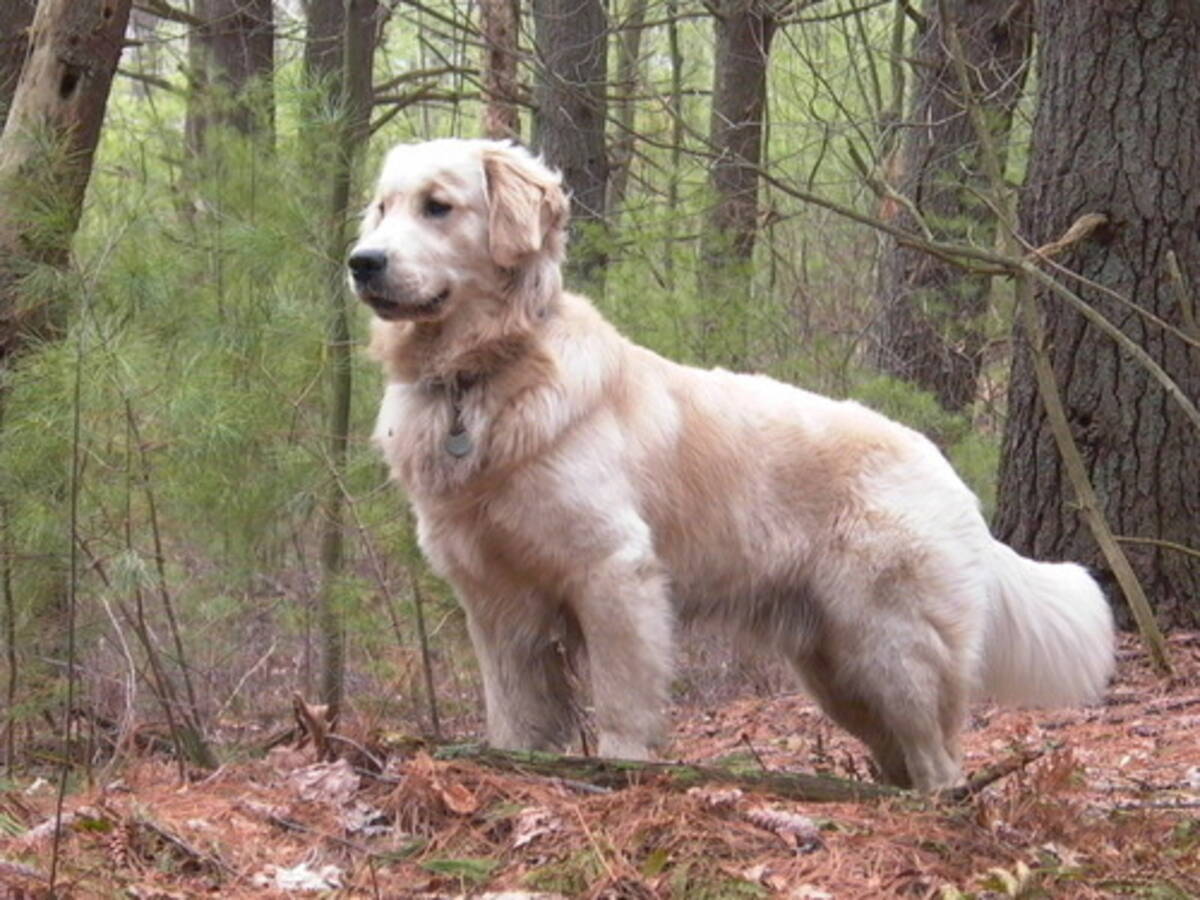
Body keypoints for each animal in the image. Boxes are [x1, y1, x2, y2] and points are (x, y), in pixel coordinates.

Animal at [350, 137, 1113, 792]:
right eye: (384, 207)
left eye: (438, 206)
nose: (362, 261)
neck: (480, 378)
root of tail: (943, 468)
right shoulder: (494, 600)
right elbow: (513, 713)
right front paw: (514, 765)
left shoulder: (613, 573)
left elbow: (621, 702)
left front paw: (619, 771)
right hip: (838, 671)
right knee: (903, 757)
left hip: (895, 650)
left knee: (941, 759)